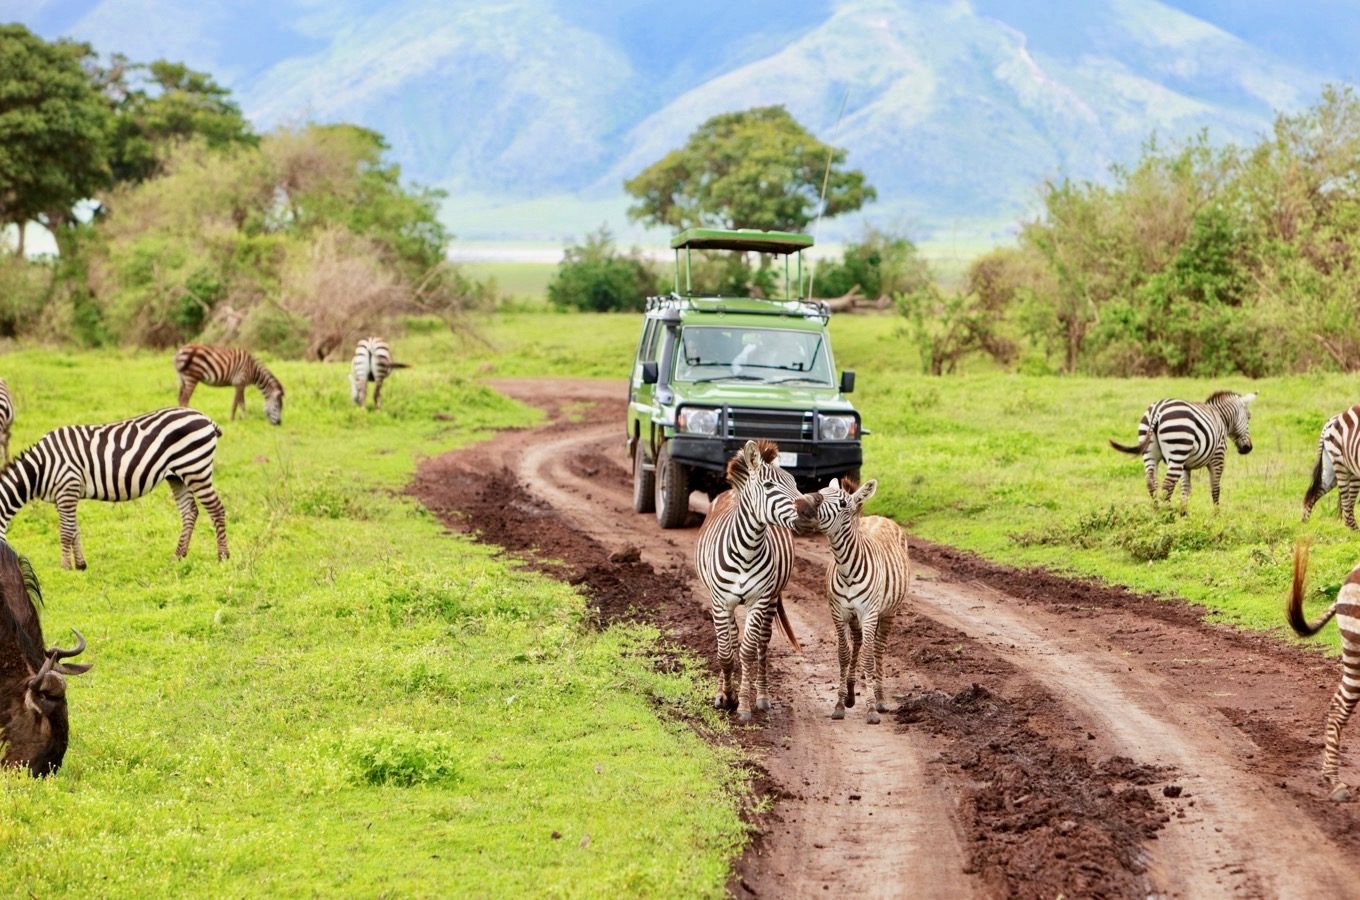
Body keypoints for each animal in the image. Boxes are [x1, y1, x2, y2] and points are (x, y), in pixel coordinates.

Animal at [0, 410, 228, 570]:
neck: (40, 467)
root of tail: (206, 418)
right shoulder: (63, 496)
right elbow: (74, 530)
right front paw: (80, 565)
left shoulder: (67, 489)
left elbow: (66, 532)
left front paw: (64, 567)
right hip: (178, 476)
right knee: (190, 512)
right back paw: (178, 556)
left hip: (195, 468)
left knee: (216, 509)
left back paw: (223, 557)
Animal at [701, 440, 805, 723]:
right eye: (769, 486)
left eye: (794, 482)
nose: (808, 509)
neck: (746, 550)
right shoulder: (719, 602)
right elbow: (725, 653)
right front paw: (726, 696)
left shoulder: (758, 600)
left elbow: (747, 651)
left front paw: (744, 704)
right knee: (730, 639)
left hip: (771, 599)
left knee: (761, 644)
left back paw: (762, 696)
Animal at [794, 478, 913, 728]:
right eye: (819, 491)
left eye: (841, 503)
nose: (801, 505)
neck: (846, 568)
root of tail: (881, 517)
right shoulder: (838, 613)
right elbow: (843, 654)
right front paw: (840, 704)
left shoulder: (869, 613)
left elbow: (868, 657)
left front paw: (871, 709)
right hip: (857, 617)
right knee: (858, 643)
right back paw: (851, 693)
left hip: (888, 612)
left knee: (877, 648)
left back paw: (880, 698)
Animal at [1109, 391, 1256, 511]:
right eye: (1249, 417)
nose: (1248, 448)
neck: (1221, 417)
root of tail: (1157, 410)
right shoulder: (1218, 457)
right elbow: (1215, 488)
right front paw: (1216, 514)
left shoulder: (1186, 465)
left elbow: (1186, 489)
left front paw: (1184, 514)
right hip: (1177, 452)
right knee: (1167, 485)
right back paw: (1168, 514)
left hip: (1150, 452)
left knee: (1152, 482)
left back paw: (1156, 511)